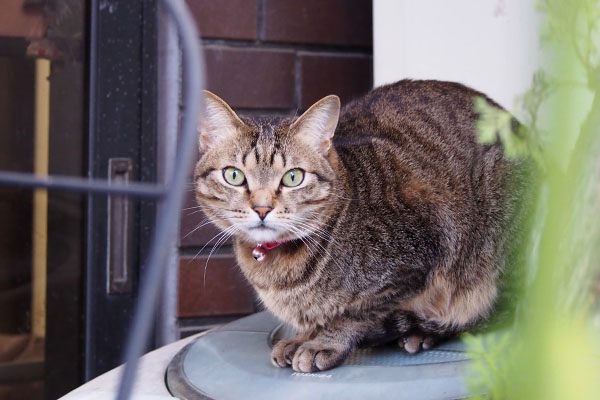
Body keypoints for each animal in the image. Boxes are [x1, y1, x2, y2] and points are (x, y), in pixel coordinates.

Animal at [193, 79, 524, 374]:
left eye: (293, 177)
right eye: (234, 175)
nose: (262, 208)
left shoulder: (414, 262)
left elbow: (353, 313)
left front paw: (321, 342)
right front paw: (302, 337)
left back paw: (426, 330)